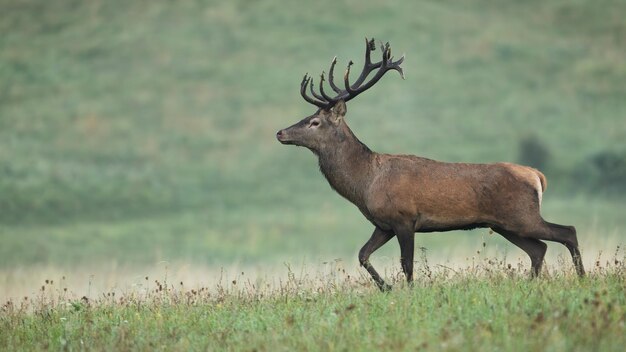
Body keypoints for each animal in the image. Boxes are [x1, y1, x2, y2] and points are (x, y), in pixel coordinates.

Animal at [276, 38, 584, 292]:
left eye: (315, 122)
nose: (281, 133)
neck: (364, 184)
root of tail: (537, 176)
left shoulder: (404, 218)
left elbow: (406, 264)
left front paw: (407, 293)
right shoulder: (383, 224)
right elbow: (363, 255)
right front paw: (386, 288)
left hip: (522, 215)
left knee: (567, 231)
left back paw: (581, 278)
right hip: (505, 223)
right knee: (538, 249)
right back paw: (531, 285)